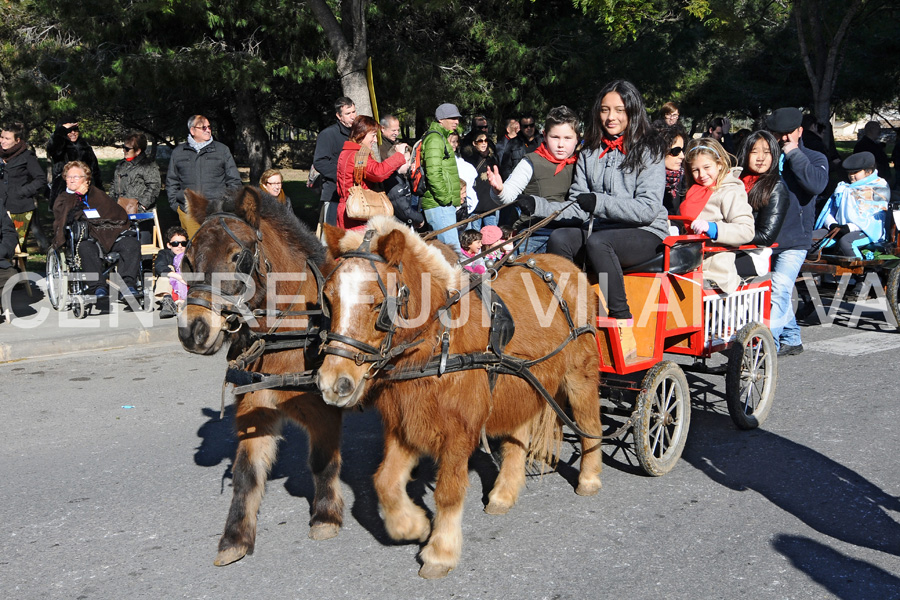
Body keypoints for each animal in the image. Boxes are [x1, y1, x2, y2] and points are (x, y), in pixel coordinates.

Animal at [177, 189, 344, 568]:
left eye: (237, 256)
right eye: (187, 259)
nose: (193, 331)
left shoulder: (324, 409)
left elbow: (321, 460)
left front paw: (326, 516)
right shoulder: (256, 408)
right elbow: (246, 473)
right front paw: (235, 538)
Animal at [318, 218, 604, 580]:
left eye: (377, 304)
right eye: (329, 299)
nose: (333, 383)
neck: (440, 339)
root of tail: (567, 266)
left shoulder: (458, 430)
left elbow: (448, 493)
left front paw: (441, 551)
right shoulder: (405, 423)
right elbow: (384, 482)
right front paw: (412, 526)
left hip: (579, 376)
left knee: (589, 424)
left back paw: (589, 478)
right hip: (523, 385)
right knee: (518, 438)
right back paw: (504, 493)